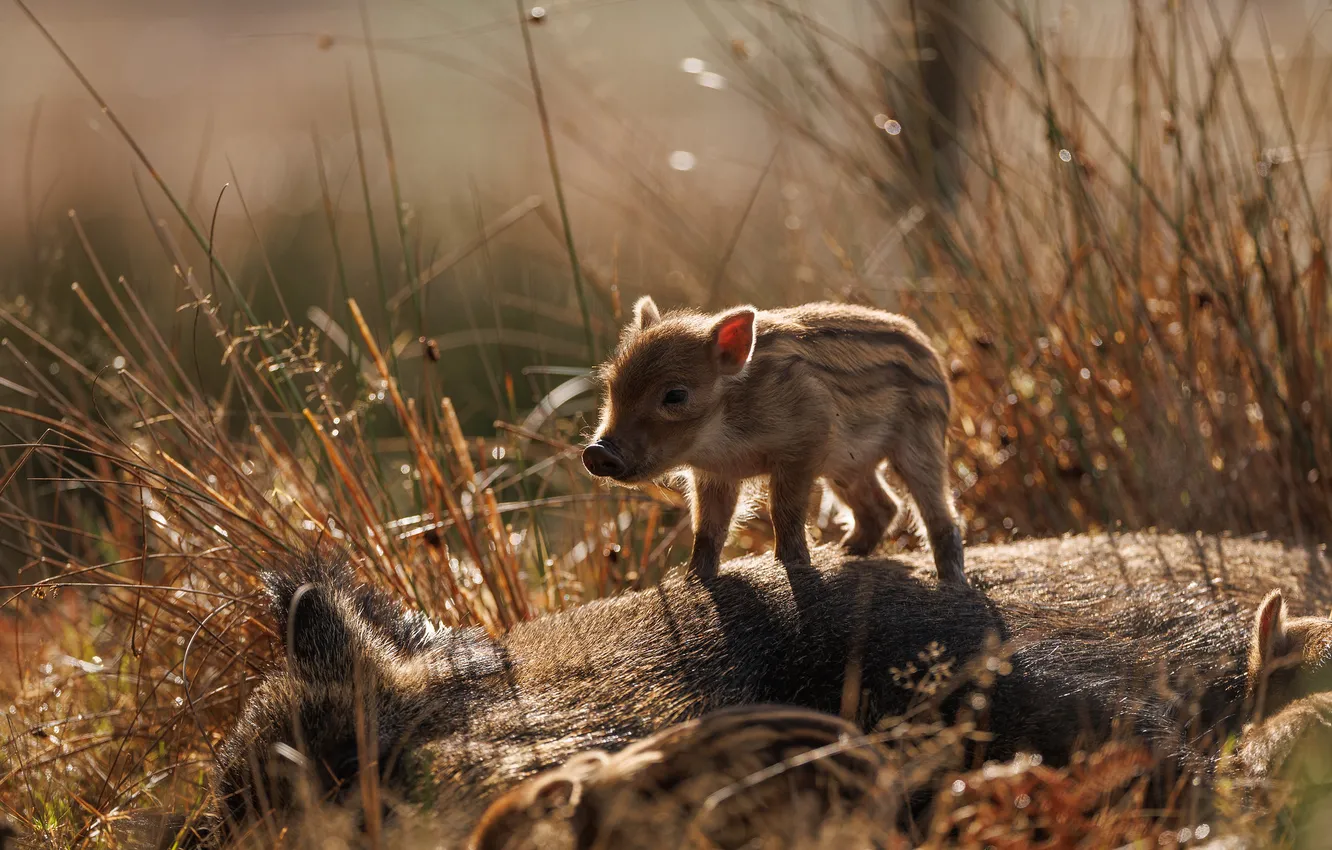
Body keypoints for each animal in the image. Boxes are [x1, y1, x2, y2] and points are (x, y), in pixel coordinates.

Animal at [581, 298, 965, 585]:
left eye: (675, 395)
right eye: (613, 387)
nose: (597, 452)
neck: (723, 432)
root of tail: (928, 348)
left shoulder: (804, 446)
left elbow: (783, 511)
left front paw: (794, 565)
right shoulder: (714, 474)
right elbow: (707, 528)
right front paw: (694, 580)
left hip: (920, 440)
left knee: (939, 514)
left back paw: (950, 582)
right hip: (848, 467)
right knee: (883, 507)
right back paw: (844, 553)